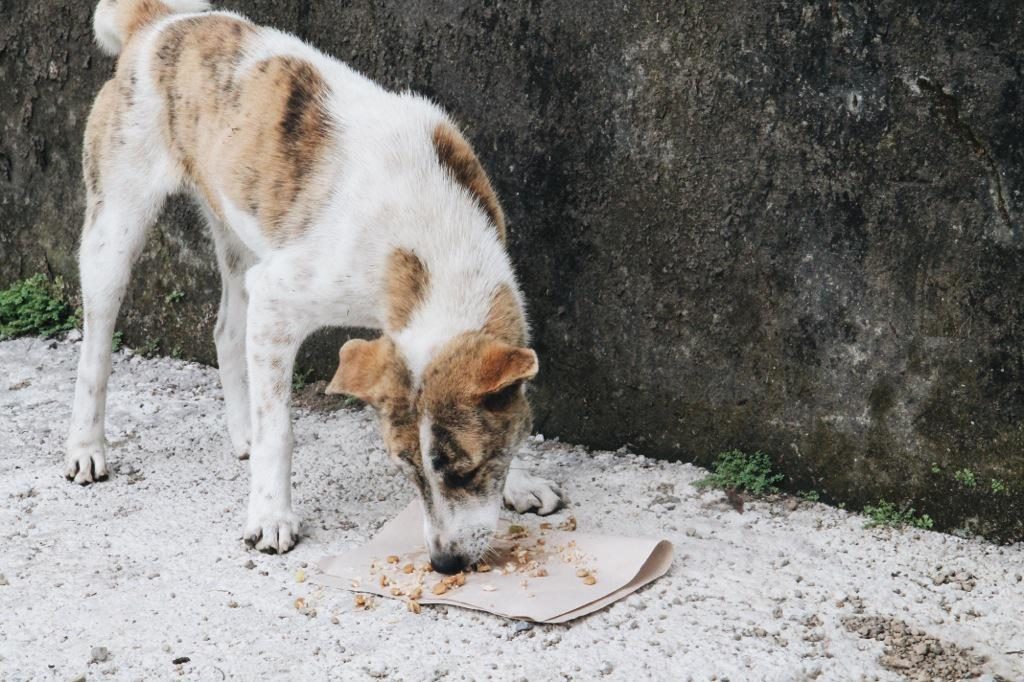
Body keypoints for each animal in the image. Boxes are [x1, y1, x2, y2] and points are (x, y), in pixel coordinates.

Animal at [66, 0, 561, 569]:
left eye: (468, 470)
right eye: (407, 470)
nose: (445, 563)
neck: (431, 242)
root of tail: (158, 23)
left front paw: (519, 482)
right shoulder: (280, 299)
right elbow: (280, 429)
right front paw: (270, 516)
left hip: (240, 238)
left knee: (226, 331)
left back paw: (243, 433)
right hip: (115, 233)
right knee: (96, 346)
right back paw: (86, 448)